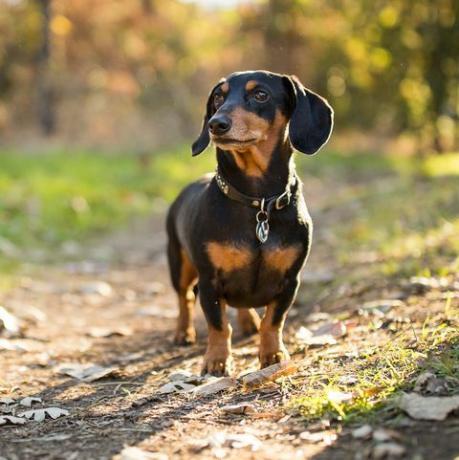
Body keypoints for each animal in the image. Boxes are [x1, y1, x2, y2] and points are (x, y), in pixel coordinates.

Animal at [167, 70, 332, 376]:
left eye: (260, 95)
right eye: (218, 97)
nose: (216, 124)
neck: (258, 202)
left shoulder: (290, 280)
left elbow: (274, 321)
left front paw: (273, 354)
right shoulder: (209, 282)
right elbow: (219, 325)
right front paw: (216, 360)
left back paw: (249, 321)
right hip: (179, 263)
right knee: (184, 299)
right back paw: (183, 333)